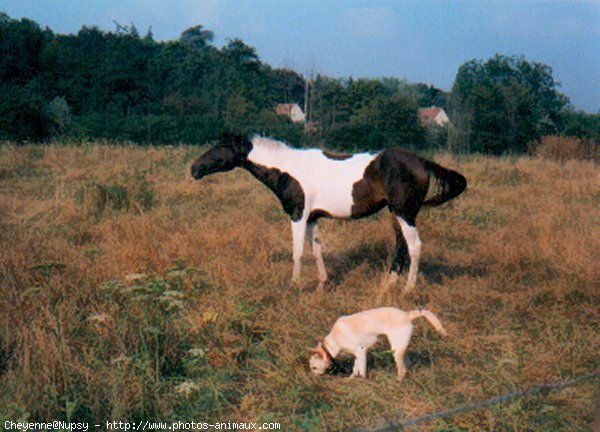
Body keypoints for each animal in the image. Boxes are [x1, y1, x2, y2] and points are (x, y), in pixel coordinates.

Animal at [190, 133, 466, 292]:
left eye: (221, 147)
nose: (195, 169)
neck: (288, 169)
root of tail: (422, 162)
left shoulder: (299, 214)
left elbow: (298, 251)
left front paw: (294, 285)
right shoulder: (313, 218)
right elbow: (317, 249)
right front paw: (322, 283)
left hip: (405, 213)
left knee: (415, 246)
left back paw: (408, 289)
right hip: (395, 214)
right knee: (401, 246)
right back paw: (388, 285)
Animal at [310, 306, 446, 380]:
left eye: (314, 367)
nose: (312, 378)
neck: (334, 340)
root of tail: (406, 315)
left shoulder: (361, 351)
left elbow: (362, 372)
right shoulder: (357, 354)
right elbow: (355, 369)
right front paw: (350, 379)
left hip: (396, 350)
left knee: (402, 370)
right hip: (399, 348)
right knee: (407, 365)